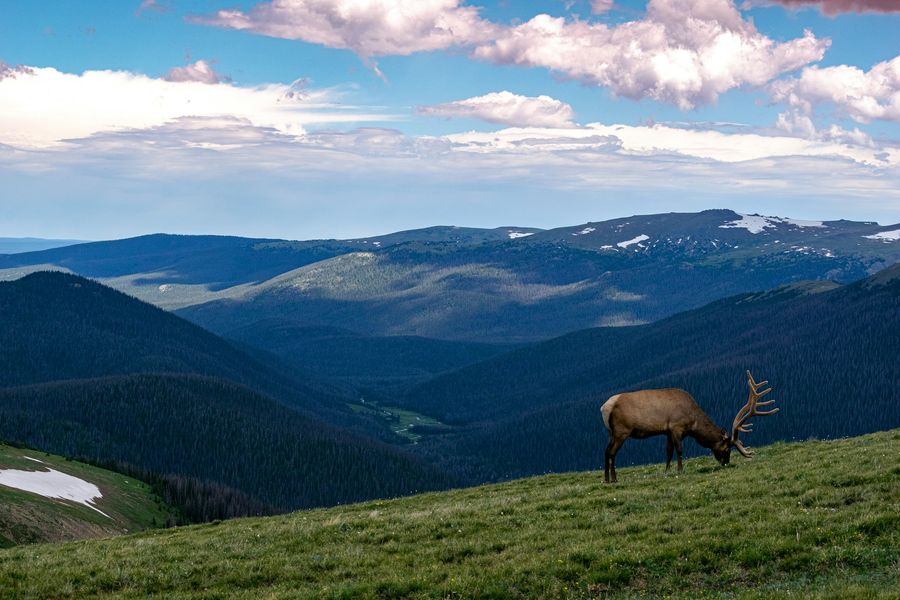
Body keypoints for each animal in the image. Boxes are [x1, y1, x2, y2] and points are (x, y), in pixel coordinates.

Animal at [600, 371, 778, 483]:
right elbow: (679, 450)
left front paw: (667, 471)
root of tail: (605, 407)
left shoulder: (667, 431)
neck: (693, 423)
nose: (726, 463)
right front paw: (680, 470)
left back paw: (607, 479)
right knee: (612, 452)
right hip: (622, 430)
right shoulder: (676, 427)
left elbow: (668, 452)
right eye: (727, 448)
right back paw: (614, 479)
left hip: (611, 432)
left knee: (606, 451)